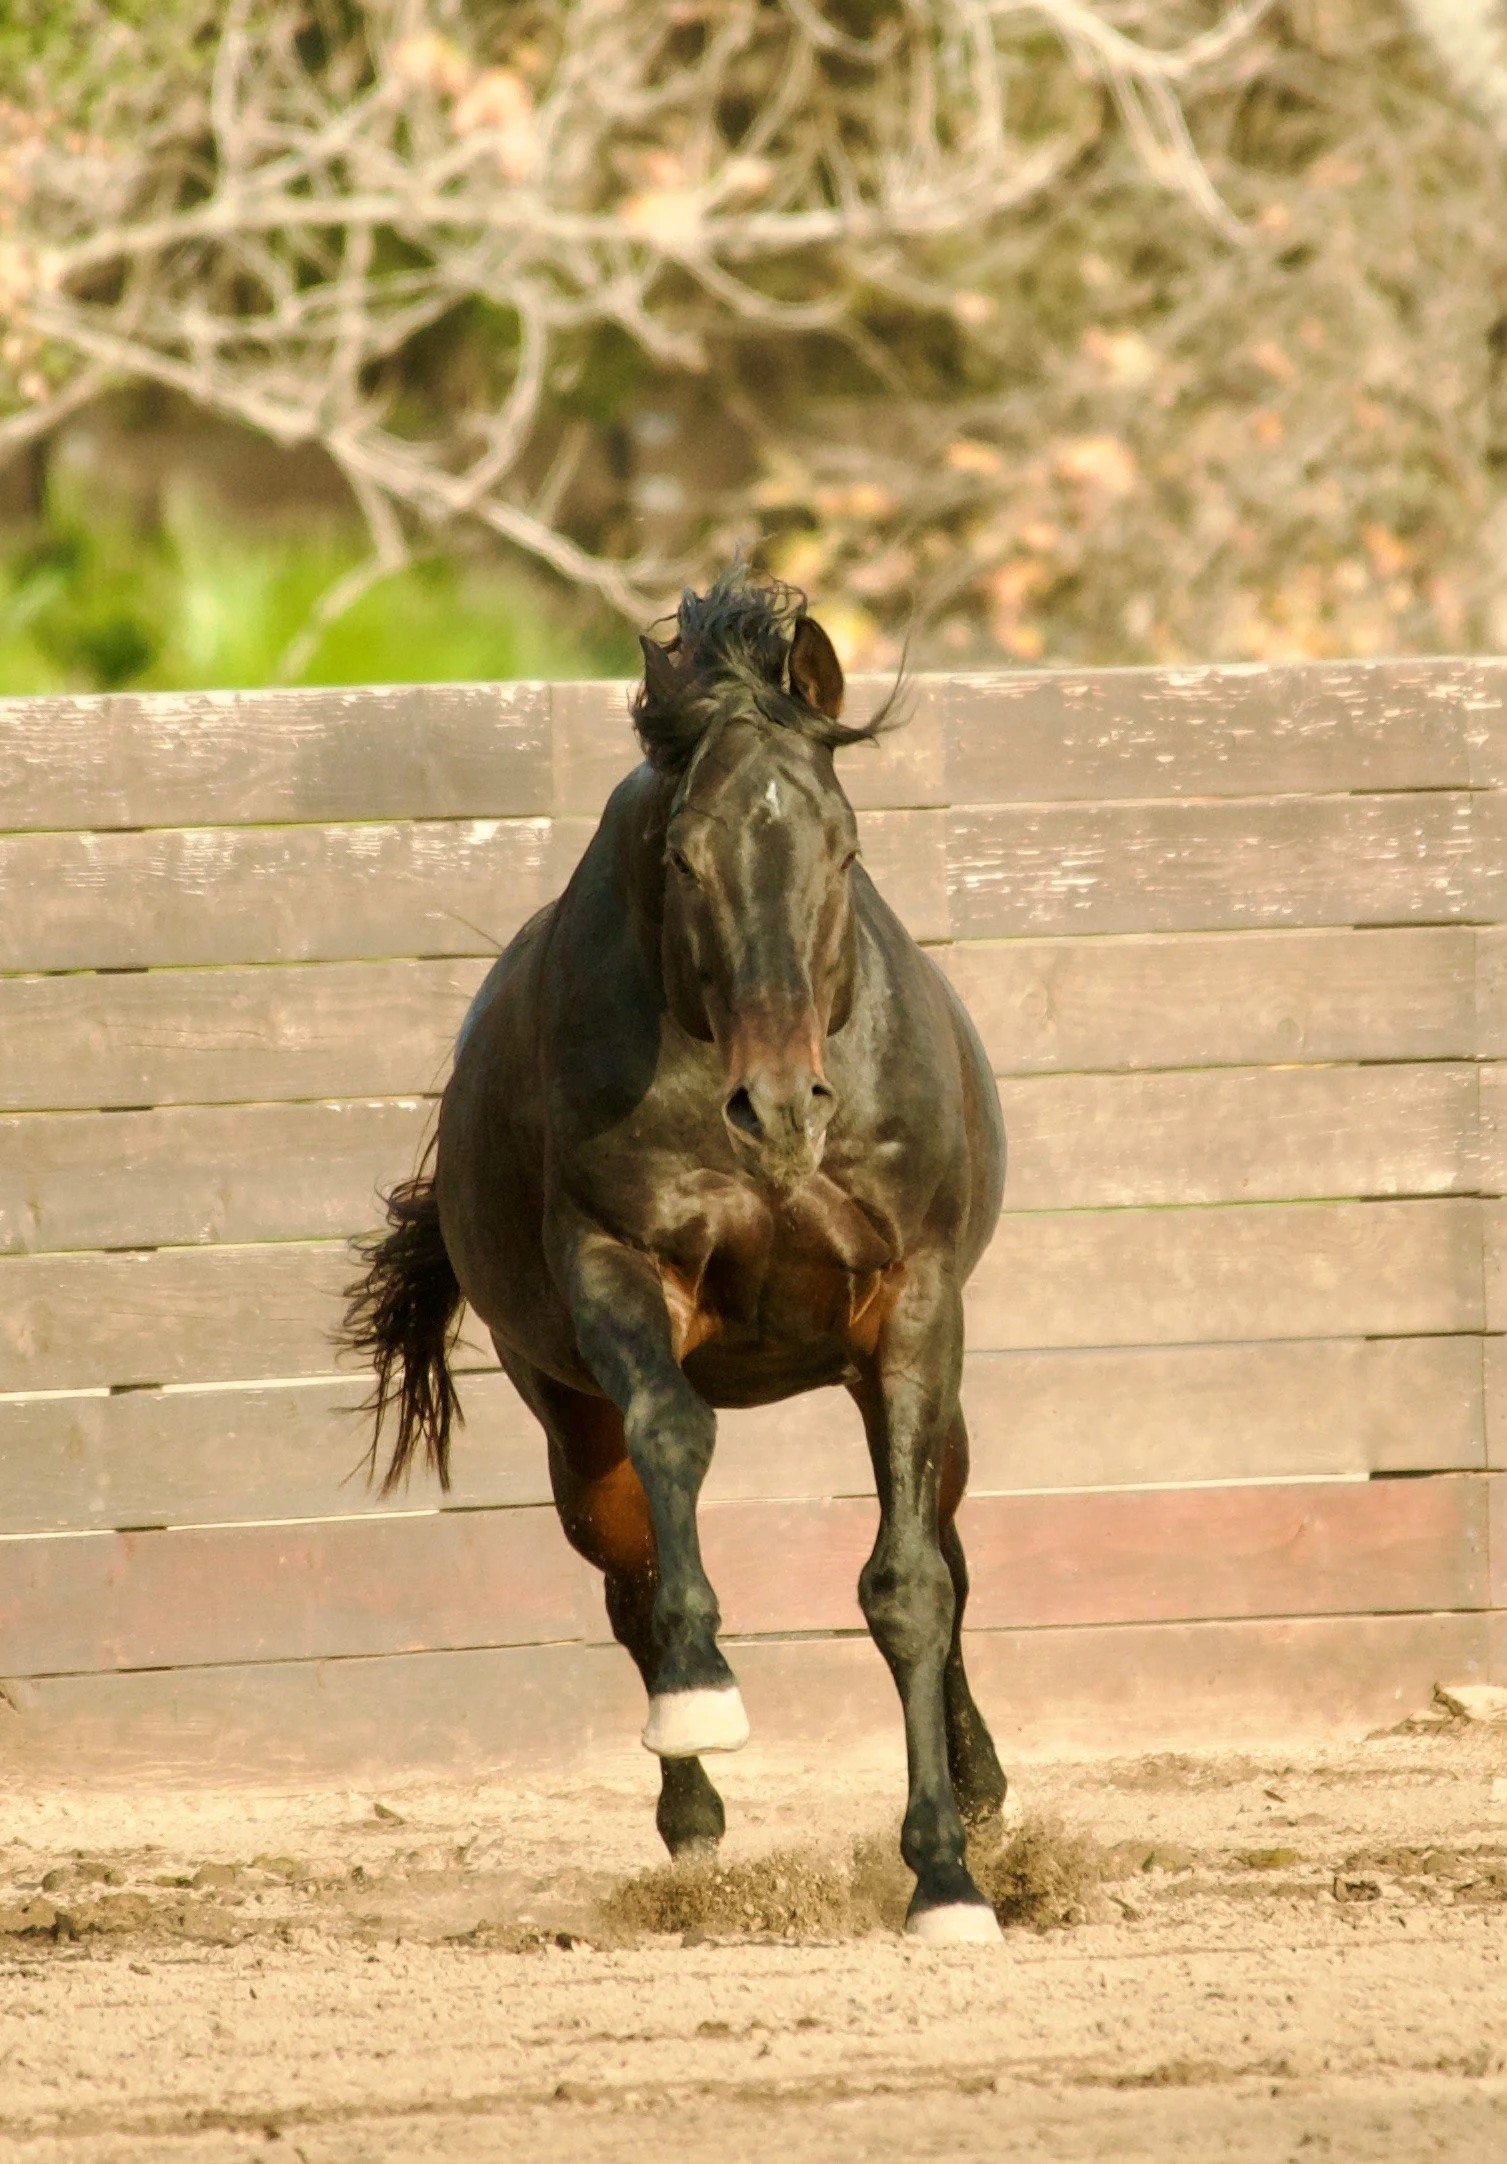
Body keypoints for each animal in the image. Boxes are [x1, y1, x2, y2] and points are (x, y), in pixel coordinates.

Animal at [344, 566, 1010, 1944]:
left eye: (843, 848)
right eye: (686, 856)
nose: (782, 1108)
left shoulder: (915, 1309)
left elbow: (911, 1586)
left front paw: (944, 1874)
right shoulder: (617, 1274)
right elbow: (677, 1446)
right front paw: (704, 1693)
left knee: (953, 1557)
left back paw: (980, 1795)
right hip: (567, 1422)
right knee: (626, 1568)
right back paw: (692, 1818)